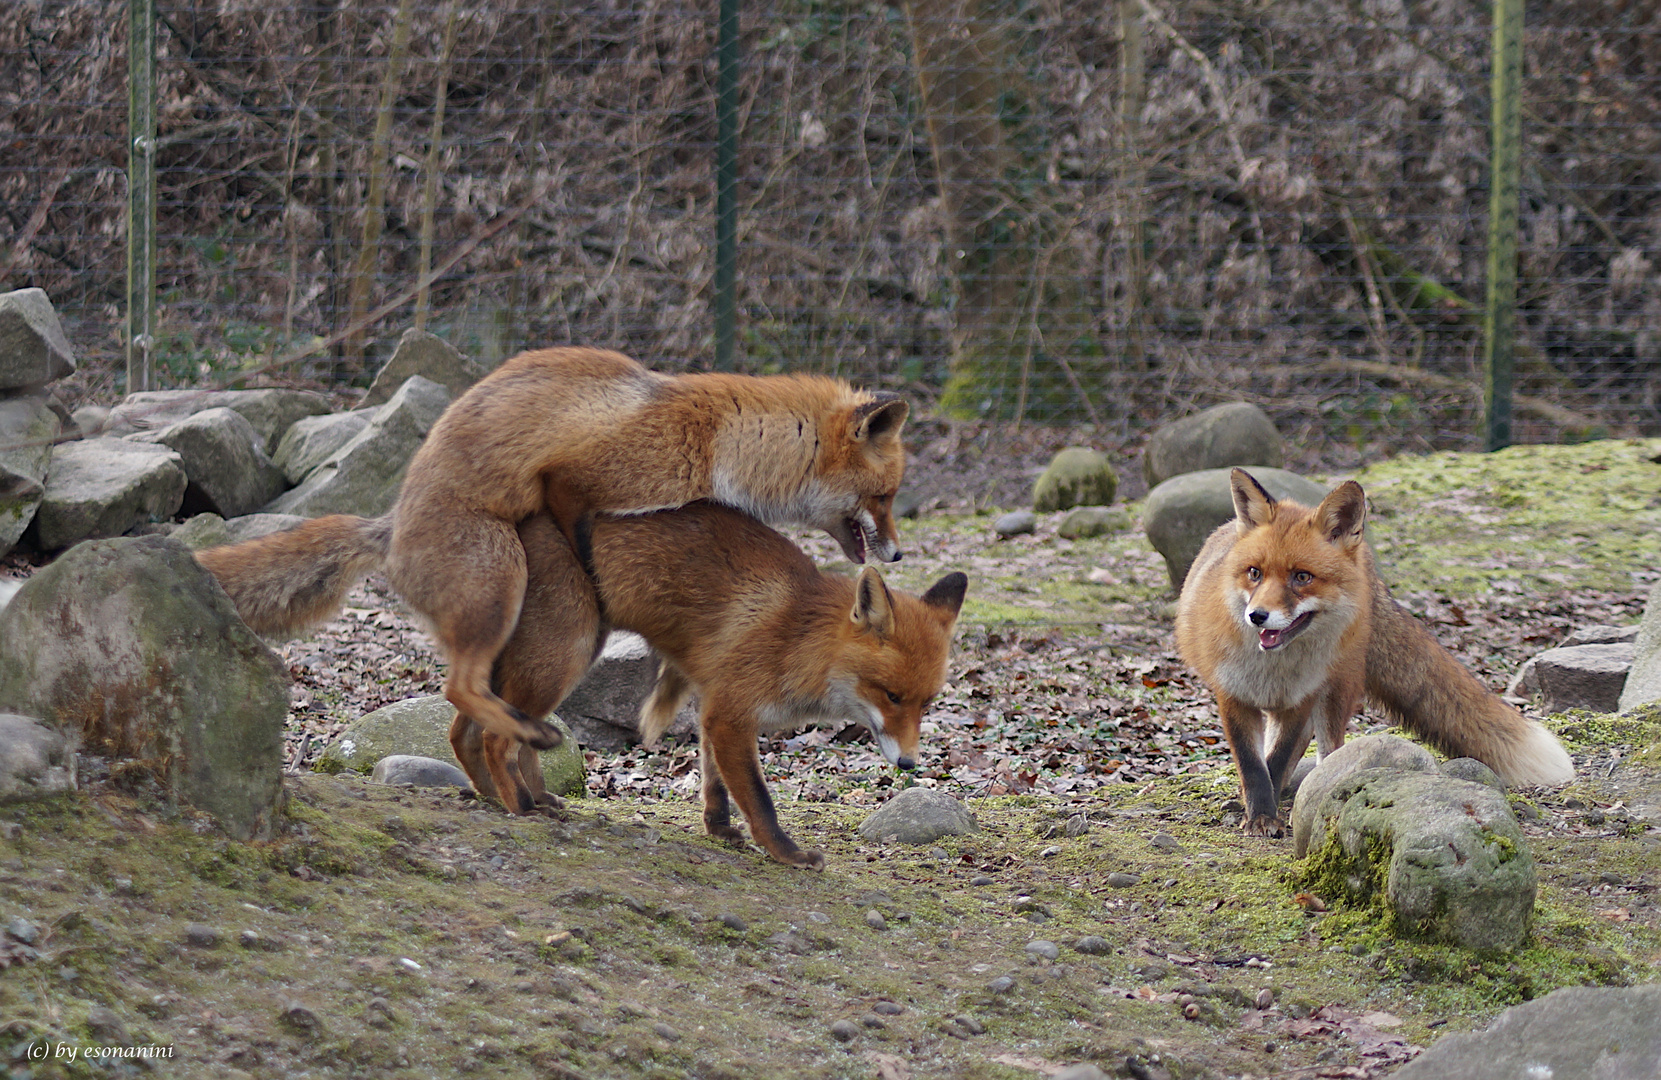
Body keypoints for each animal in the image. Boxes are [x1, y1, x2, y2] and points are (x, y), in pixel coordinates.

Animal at [204, 345, 923, 757]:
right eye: (886, 496)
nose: (895, 557)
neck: (719, 435)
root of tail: (392, 524)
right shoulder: (576, 476)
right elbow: (573, 525)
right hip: (499, 582)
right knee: (460, 686)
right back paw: (526, 731)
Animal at [441, 501, 970, 864]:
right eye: (892, 696)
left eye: (927, 704)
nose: (909, 763)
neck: (796, 637)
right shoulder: (730, 713)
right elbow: (758, 799)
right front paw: (787, 854)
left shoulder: (716, 706)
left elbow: (715, 784)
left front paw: (720, 831)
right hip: (567, 653)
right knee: (494, 737)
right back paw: (520, 805)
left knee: (465, 731)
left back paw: (499, 795)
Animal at [1175, 465, 1574, 834]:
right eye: (1254, 573)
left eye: (1302, 577)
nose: (1257, 616)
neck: (1274, 667)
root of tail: (1367, 568)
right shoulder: (1233, 696)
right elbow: (1253, 766)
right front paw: (1259, 813)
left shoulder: (1304, 697)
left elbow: (1276, 760)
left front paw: (1267, 814)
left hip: (1336, 692)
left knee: (1326, 750)